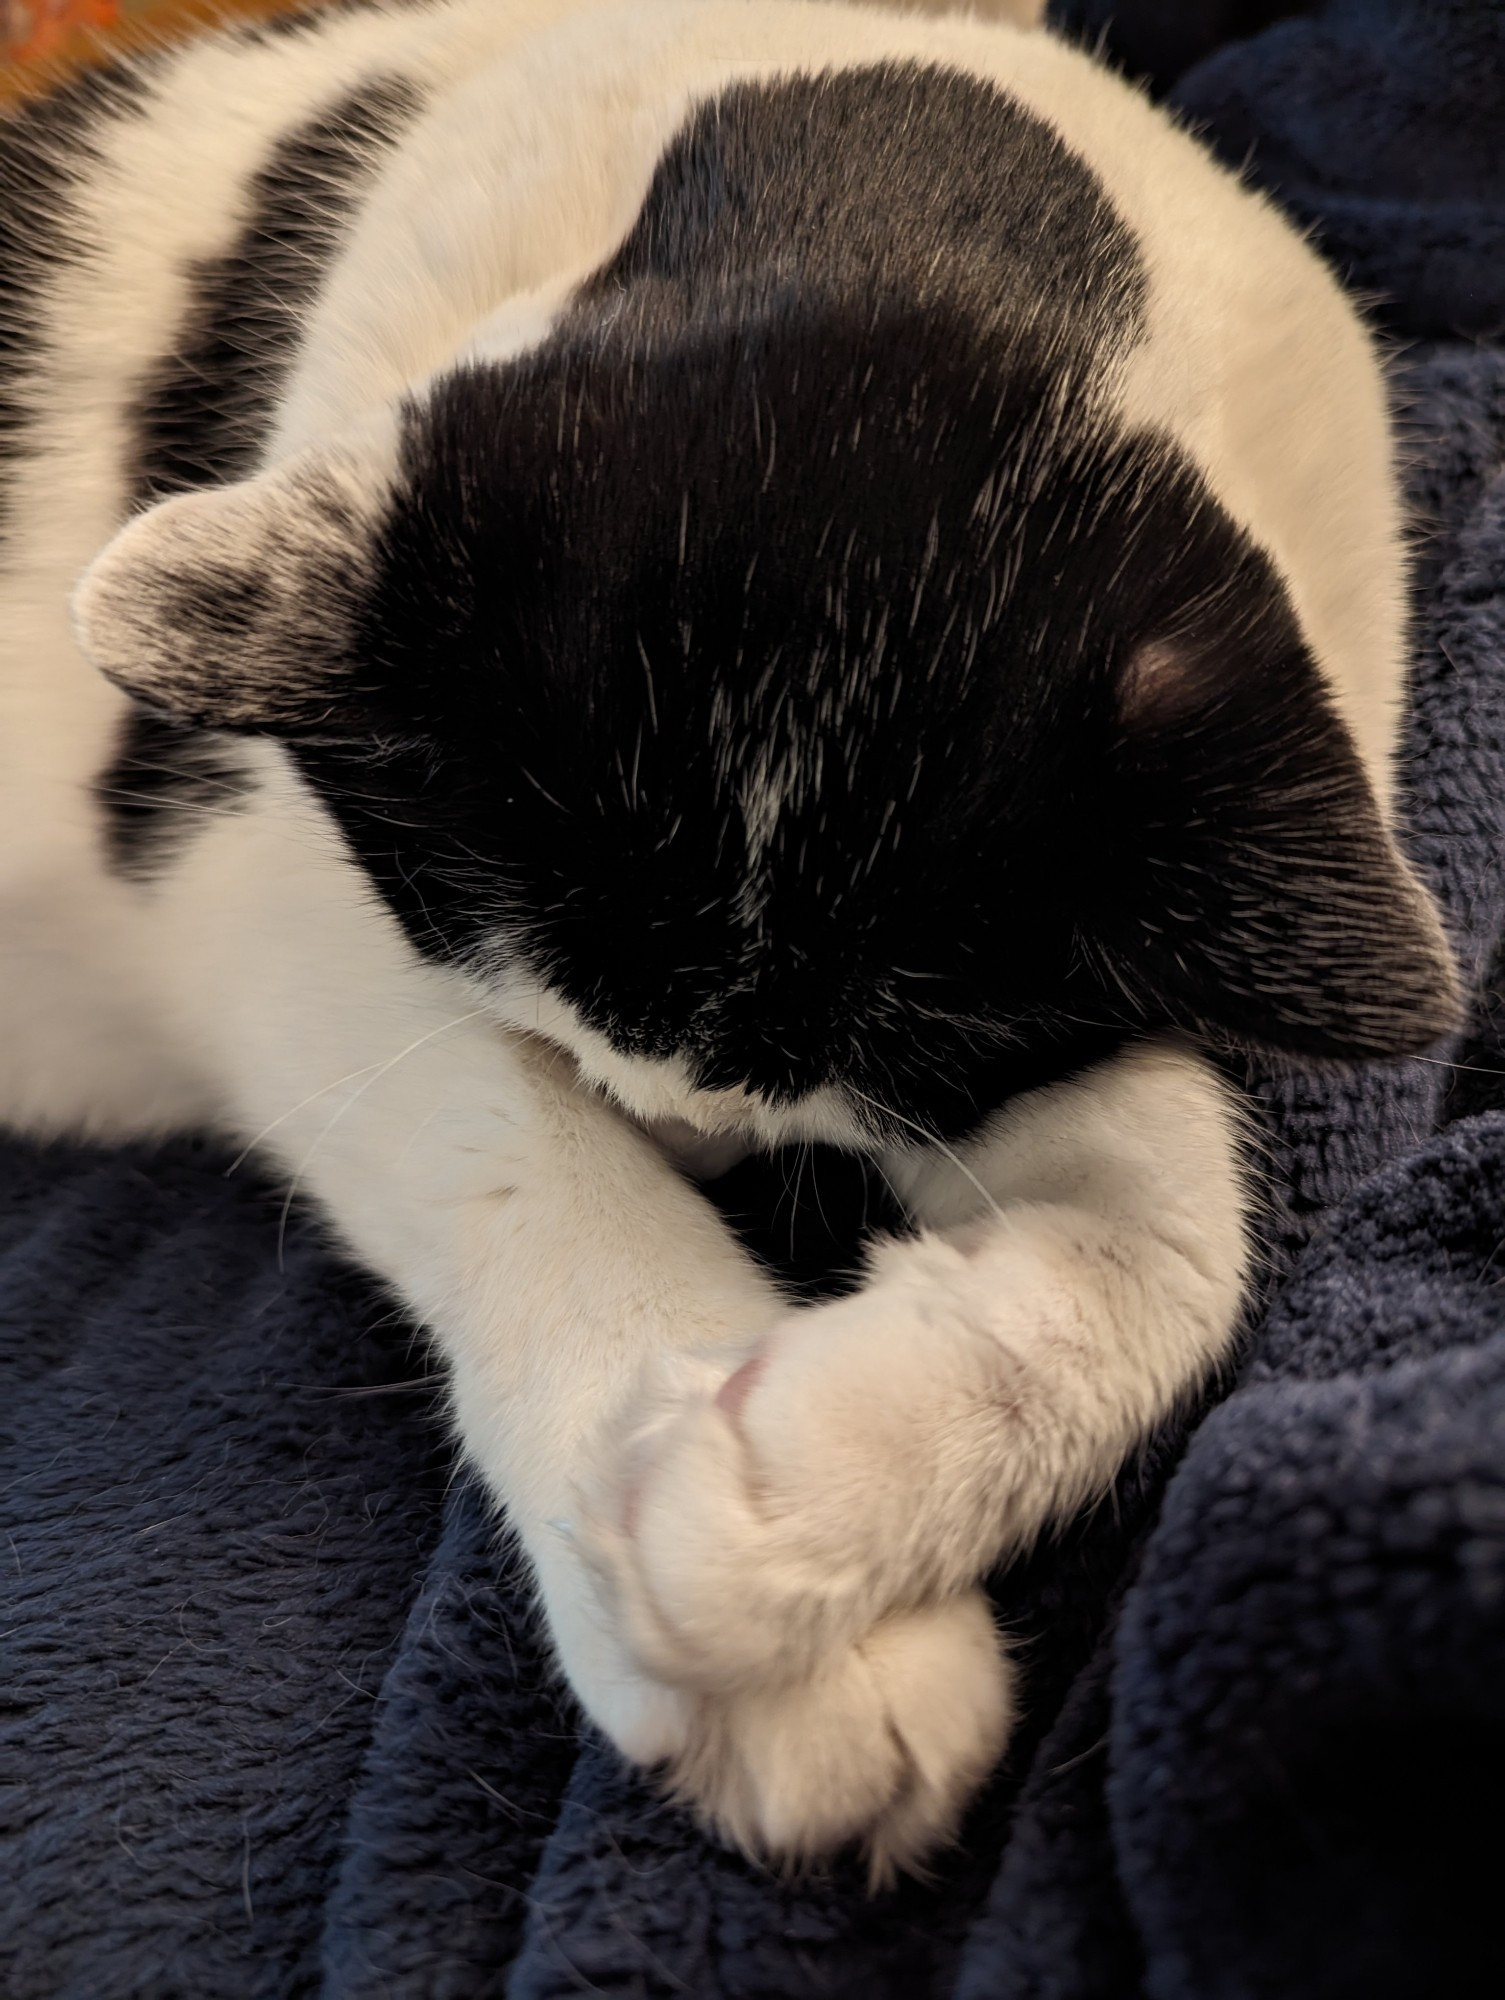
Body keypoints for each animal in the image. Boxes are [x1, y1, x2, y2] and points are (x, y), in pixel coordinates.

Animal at [0, 0, 1456, 1872]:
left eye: (852, 1068)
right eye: (563, 1018)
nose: (684, 1133)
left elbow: (1176, 1244)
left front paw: (809, 1482)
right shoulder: (247, 865)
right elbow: (505, 1139)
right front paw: (746, 1581)